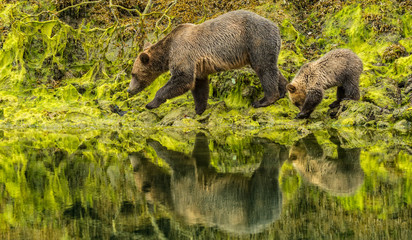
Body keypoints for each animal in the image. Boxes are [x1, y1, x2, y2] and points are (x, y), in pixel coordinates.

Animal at [128, 11, 286, 115]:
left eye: (133, 74)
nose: (129, 90)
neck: (167, 51)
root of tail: (276, 27)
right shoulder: (198, 66)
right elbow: (199, 86)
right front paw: (199, 109)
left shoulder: (183, 54)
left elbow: (182, 79)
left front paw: (151, 103)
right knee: (272, 68)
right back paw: (283, 91)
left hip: (256, 39)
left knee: (264, 68)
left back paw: (263, 100)